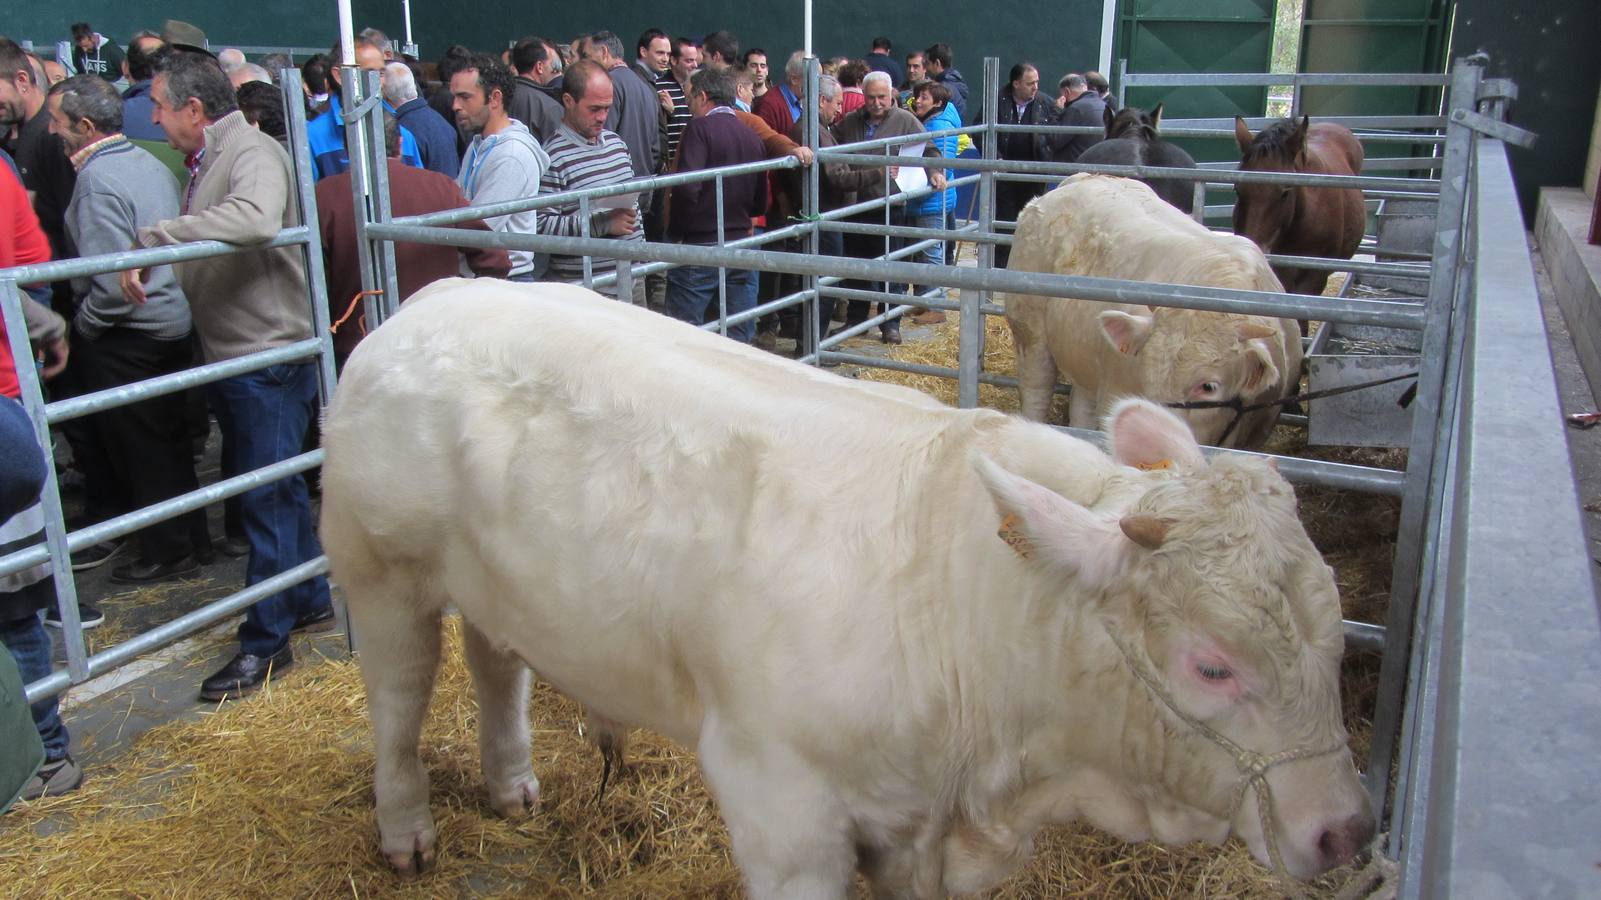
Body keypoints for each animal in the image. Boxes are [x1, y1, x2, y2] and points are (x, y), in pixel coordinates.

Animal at [318, 277, 1370, 890]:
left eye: (1332, 638)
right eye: (1210, 666)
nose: (1347, 832)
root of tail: (428, 299)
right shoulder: (780, 808)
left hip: (495, 582)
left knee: (498, 666)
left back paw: (512, 786)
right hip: (379, 572)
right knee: (398, 702)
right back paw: (407, 833)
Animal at [1005, 172, 1306, 448]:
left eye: (1208, 386)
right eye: (1146, 383)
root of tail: (1082, 178)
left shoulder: (1260, 429)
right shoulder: (1115, 392)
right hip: (1030, 334)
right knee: (1036, 389)